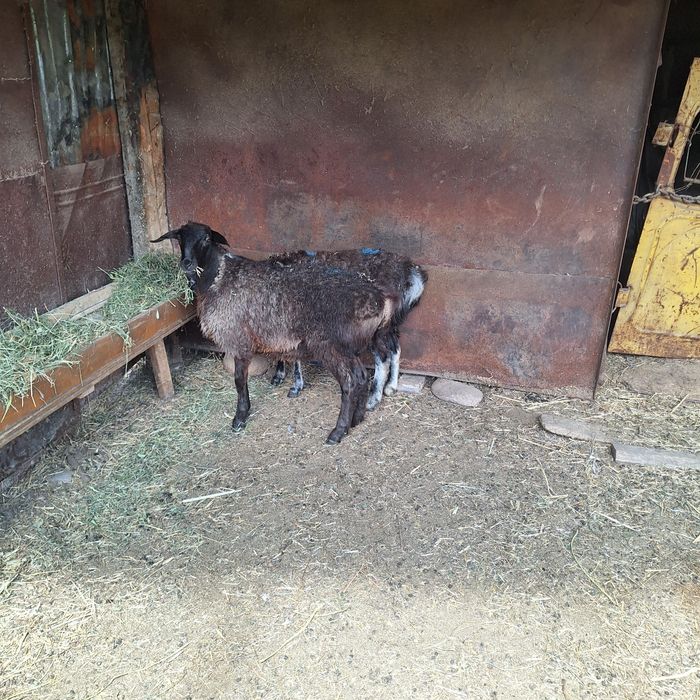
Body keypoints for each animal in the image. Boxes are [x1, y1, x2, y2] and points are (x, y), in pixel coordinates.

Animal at [152, 222, 398, 444]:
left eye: (205, 239)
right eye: (180, 237)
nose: (186, 263)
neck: (218, 277)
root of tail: (381, 300)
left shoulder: (239, 340)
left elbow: (239, 380)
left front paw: (240, 418)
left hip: (332, 345)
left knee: (350, 382)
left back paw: (338, 432)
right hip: (351, 347)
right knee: (362, 377)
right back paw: (357, 420)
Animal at [267, 248, 427, 409]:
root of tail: (409, 270)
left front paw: (295, 386)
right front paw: (279, 376)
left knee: (383, 358)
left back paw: (373, 399)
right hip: (389, 323)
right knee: (395, 348)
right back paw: (390, 387)